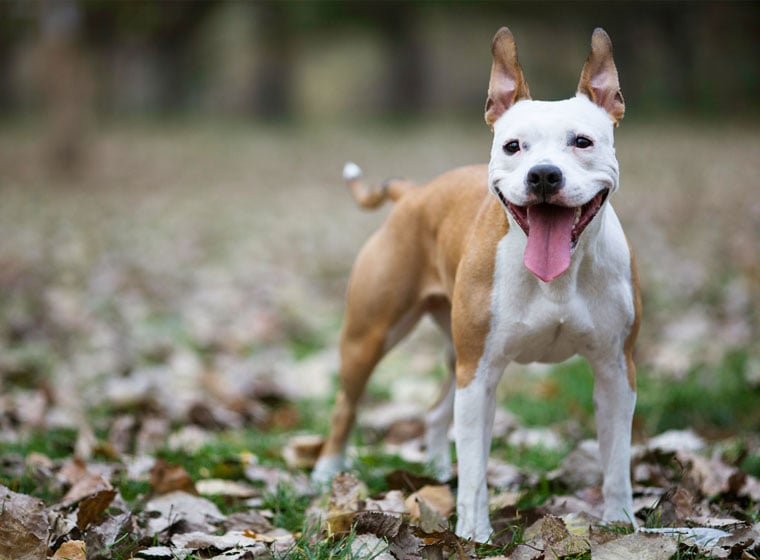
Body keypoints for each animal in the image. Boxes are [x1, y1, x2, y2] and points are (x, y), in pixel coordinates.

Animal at [312, 27, 640, 544]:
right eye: (513, 146)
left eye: (583, 142)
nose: (543, 174)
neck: (558, 276)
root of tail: (414, 193)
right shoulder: (479, 375)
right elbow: (475, 465)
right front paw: (473, 534)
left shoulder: (615, 372)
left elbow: (617, 459)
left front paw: (621, 523)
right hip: (370, 337)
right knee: (347, 403)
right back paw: (327, 472)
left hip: (453, 353)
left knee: (434, 410)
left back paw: (433, 470)